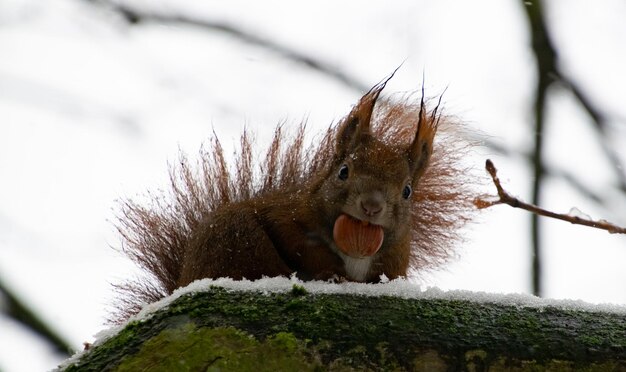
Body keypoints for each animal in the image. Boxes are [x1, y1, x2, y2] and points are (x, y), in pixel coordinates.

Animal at [112, 75, 472, 320]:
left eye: (408, 191)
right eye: (344, 171)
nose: (372, 206)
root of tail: (184, 280)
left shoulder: (396, 256)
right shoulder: (287, 216)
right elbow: (298, 244)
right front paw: (332, 274)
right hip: (238, 238)